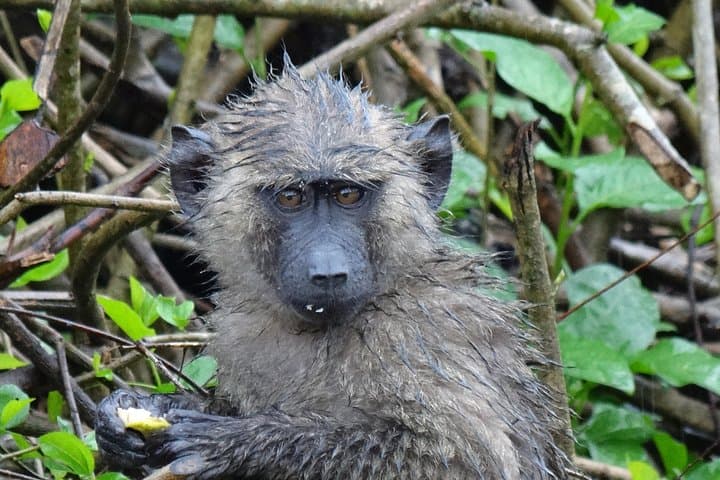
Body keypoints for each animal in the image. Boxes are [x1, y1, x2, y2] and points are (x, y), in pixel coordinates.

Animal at [95, 59, 569, 480]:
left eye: (347, 194)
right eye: (291, 197)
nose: (327, 272)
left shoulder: (423, 336)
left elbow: (460, 460)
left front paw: (231, 443)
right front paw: (132, 416)